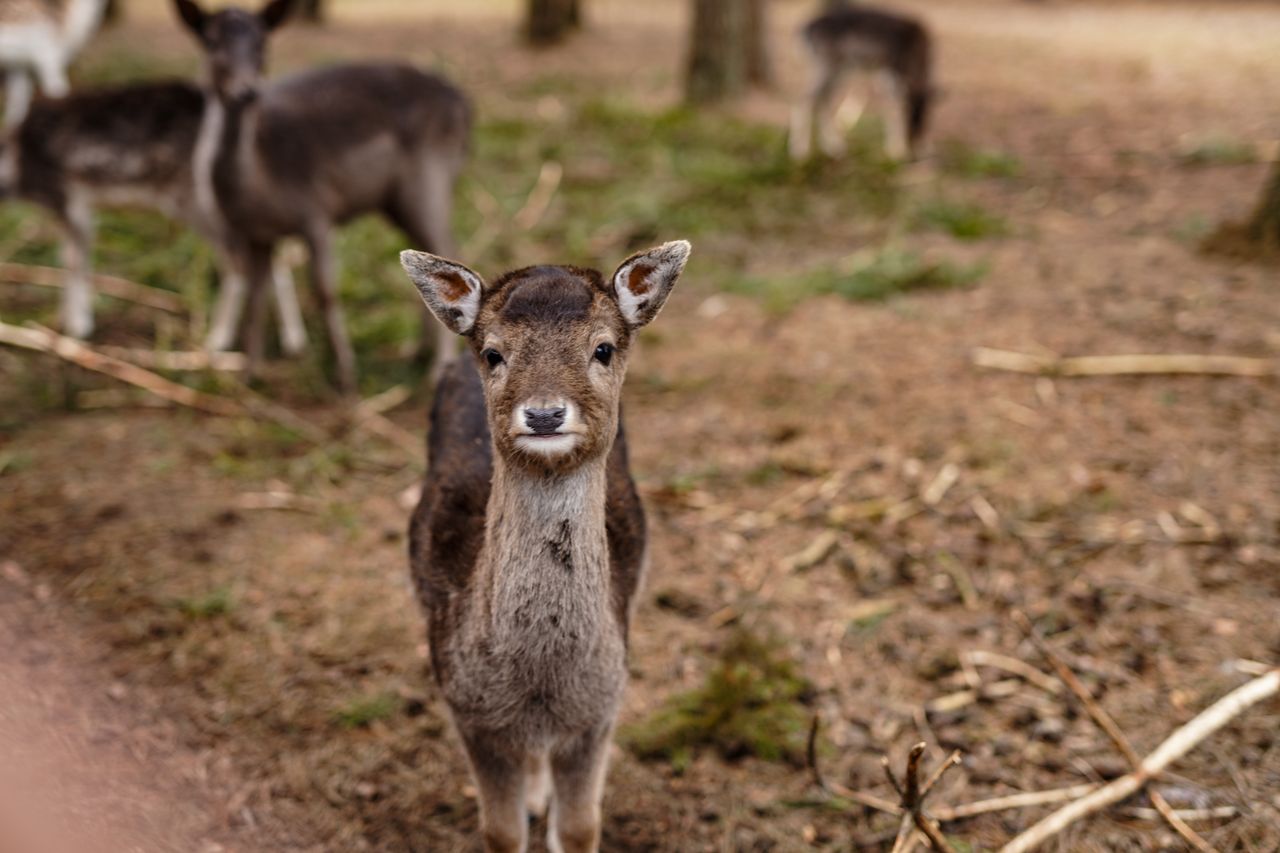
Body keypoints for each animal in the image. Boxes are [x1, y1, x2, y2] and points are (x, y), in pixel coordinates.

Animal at [172, 0, 468, 391]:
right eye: (210, 40)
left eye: (262, 41)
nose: (246, 91)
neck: (261, 185)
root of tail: (465, 104)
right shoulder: (255, 236)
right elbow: (256, 295)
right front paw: (250, 375)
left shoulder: (316, 212)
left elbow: (324, 291)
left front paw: (345, 376)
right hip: (396, 201)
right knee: (426, 254)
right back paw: (416, 352)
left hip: (430, 178)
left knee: (448, 247)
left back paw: (437, 368)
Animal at [404, 239, 696, 850]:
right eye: (494, 353)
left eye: (603, 347)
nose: (543, 413)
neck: (541, 688)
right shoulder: (469, 710)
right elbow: (500, 831)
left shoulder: (601, 707)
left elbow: (582, 826)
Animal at [783, 0, 936, 161]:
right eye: (910, 119)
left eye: (926, 118)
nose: (917, 149)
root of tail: (802, 31)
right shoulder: (888, 72)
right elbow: (893, 109)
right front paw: (896, 151)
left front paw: (925, 149)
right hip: (824, 66)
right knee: (804, 99)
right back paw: (799, 151)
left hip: (841, 70)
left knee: (824, 100)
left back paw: (835, 148)